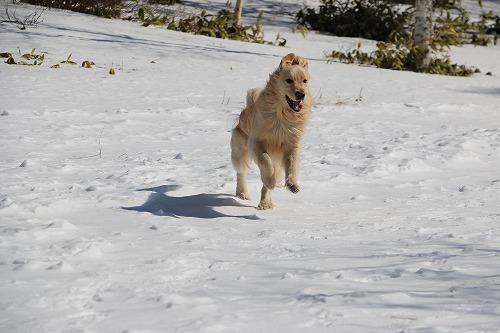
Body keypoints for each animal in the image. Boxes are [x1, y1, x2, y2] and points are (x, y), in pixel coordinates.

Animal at [230, 53, 312, 209]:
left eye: (305, 81)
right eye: (289, 80)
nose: (301, 94)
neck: (282, 115)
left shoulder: (291, 145)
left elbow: (292, 165)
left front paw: (292, 185)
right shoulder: (256, 142)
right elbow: (264, 159)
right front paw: (270, 180)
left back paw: (265, 202)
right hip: (240, 150)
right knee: (241, 172)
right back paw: (243, 194)